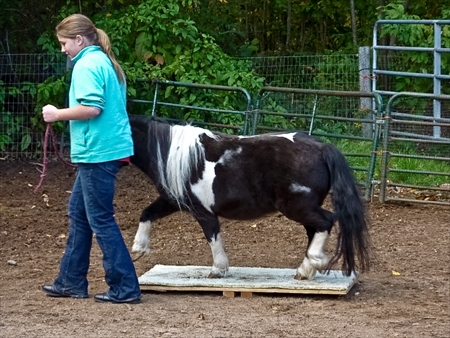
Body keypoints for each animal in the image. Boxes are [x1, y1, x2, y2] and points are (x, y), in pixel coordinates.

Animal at [127, 115, 370, 278]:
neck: (176, 155)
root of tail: (322, 147)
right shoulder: (172, 200)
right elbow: (146, 213)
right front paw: (139, 247)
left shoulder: (202, 211)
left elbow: (212, 236)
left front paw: (219, 269)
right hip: (303, 209)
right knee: (315, 230)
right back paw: (305, 270)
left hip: (298, 207)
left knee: (326, 221)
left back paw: (316, 261)